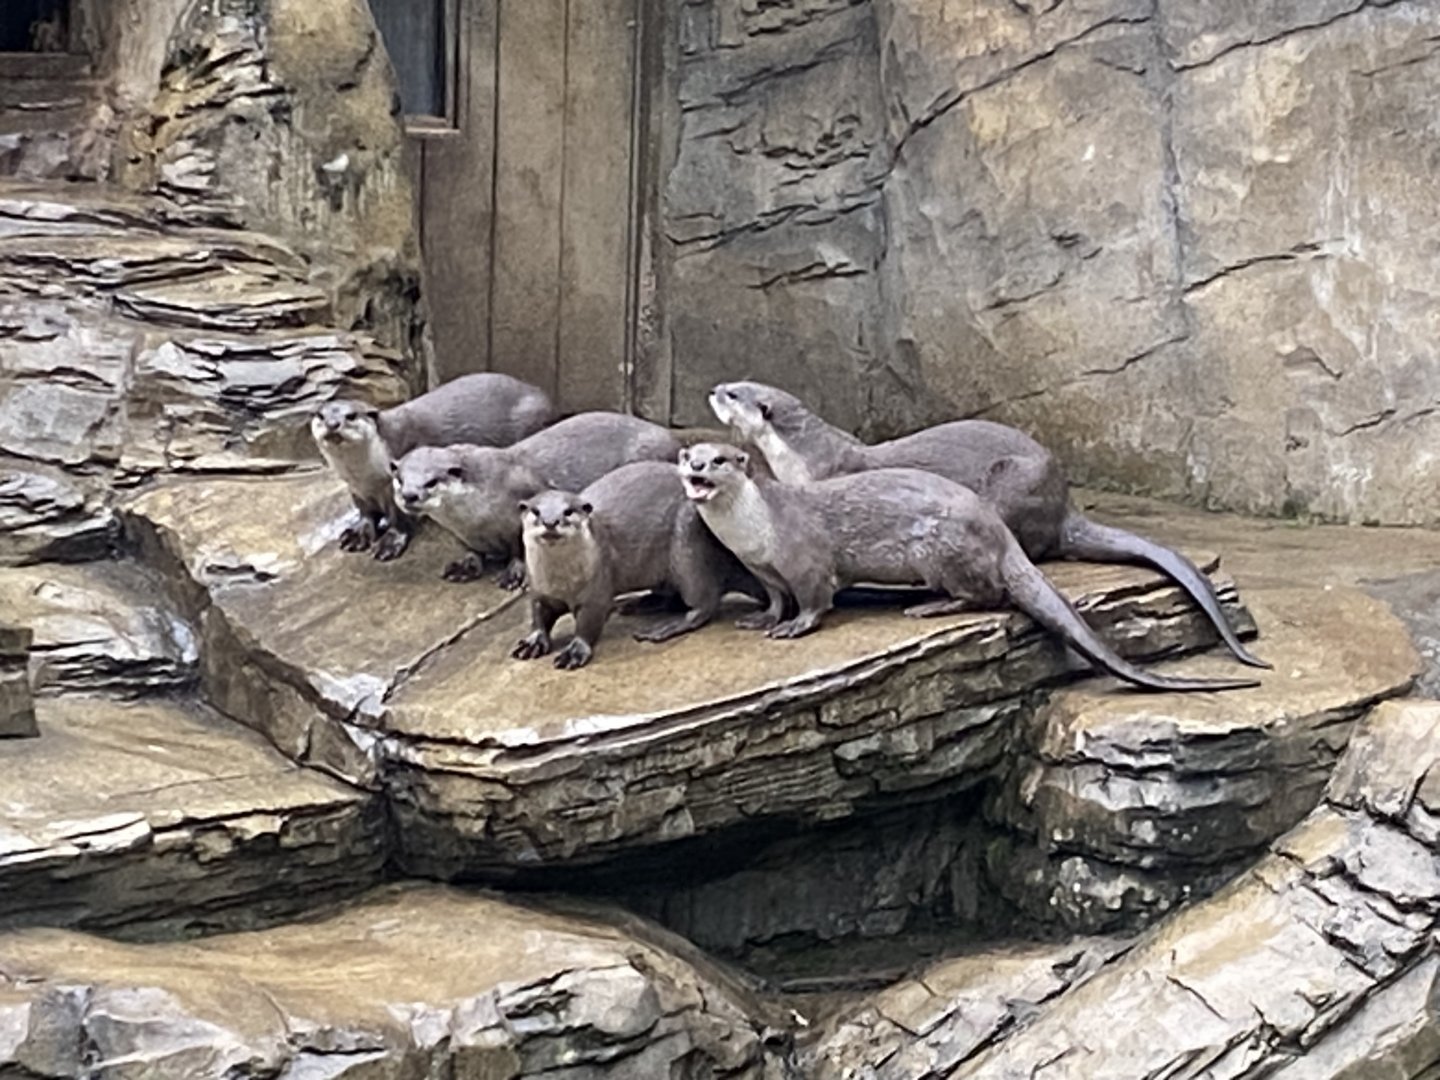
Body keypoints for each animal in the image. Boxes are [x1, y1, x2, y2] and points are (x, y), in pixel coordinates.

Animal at [311, 372, 554, 561]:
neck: (366, 475)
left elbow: (400, 520)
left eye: (351, 416)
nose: (332, 424)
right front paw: (358, 534)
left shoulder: (393, 486)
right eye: (320, 415)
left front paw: (389, 543)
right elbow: (365, 513)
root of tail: (542, 395)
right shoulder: (357, 489)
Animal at [391, 412, 683, 588]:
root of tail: (674, 440)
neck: (475, 519)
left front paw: (514, 573)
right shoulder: (463, 534)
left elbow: (519, 546)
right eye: (400, 479)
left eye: (431, 481)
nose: (409, 495)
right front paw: (465, 565)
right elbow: (471, 550)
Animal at [510, 462, 764, 669]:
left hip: (689, 549)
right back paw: (636, 603)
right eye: (535, 511)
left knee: (704, 604)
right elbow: (537, 615)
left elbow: (588, 624)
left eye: (568, 512)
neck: (562, 584)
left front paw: (575, 651)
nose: (550, 522)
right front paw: (532, 642)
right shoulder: (538, 589)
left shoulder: (596, 592)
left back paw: (664, 627)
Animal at [680, 442, 1259, 693]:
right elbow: (775, 597)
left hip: (940, 548)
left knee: (986, 595)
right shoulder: (764, 570)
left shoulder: (805, 560)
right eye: (690, 453)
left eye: (721, 459)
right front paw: (762, 619)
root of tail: (999, 533)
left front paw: (796, 627)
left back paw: (928, 606)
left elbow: (816, 599)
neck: (757, 529)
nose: (695, 466)